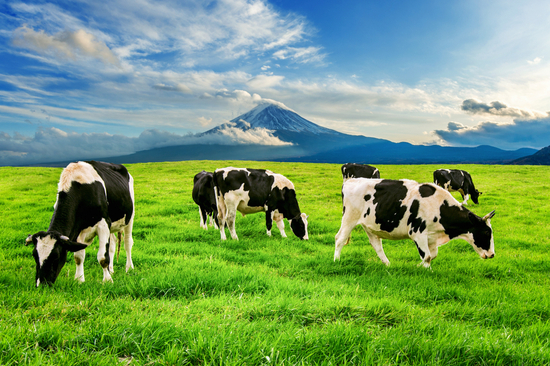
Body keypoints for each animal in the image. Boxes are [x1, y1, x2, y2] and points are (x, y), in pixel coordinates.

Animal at [334, 178, 498, 268]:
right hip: (349, 217)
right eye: (486, 232)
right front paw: (425, 270)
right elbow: (427, 256)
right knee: (340, 238)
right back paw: (337, 260)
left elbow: (432, 255)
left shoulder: (431, 237)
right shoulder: (417, 233)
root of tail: (351, 181)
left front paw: (418, 266)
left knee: (377, 245)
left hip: (371, 225)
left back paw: (388, 265)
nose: (492, 255)